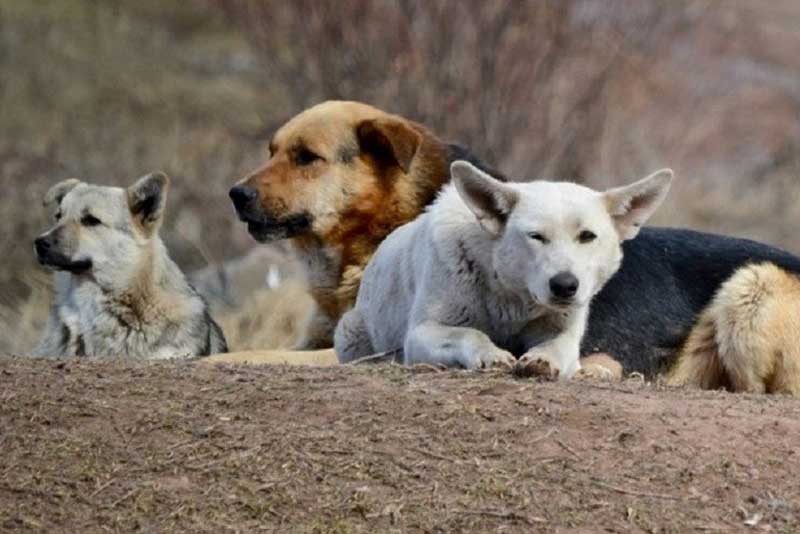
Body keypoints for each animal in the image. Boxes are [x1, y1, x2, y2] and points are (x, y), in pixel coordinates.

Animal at [334, 161, 672, 378]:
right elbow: (470, 333)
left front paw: (543, 360)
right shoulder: (421, 332)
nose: (564, 285)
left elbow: (559, 349)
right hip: (348, 331)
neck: (509, 298)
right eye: (537, 236)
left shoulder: (561, 330)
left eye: (587, 236)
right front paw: (491, 355)